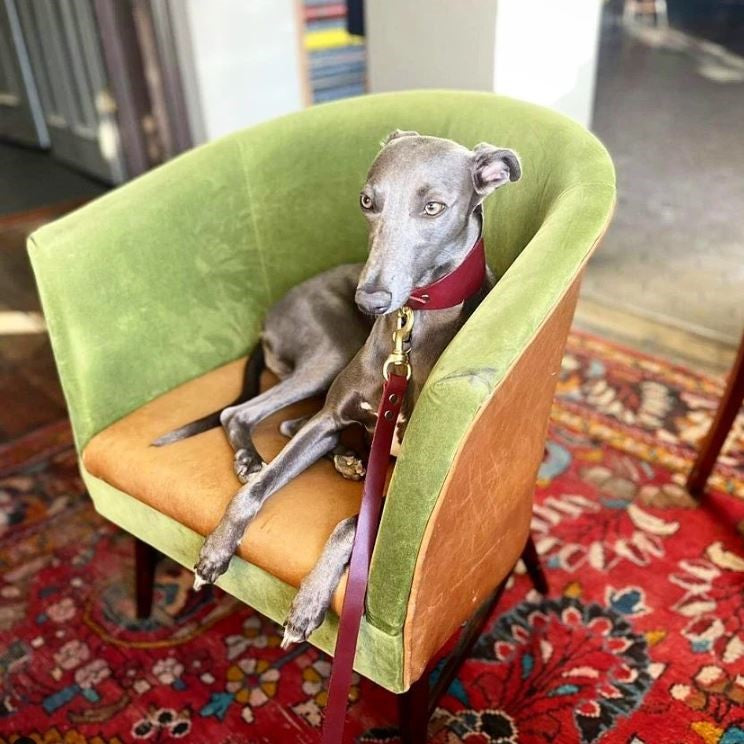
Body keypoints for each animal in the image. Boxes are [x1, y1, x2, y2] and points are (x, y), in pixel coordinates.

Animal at [154, 132, 520, 644]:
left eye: (433, 207)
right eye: (367, 201)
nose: (370, 300)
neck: (408, 334)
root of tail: (269, 317)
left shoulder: (404, 484)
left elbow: (350, 524)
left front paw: (309, 603)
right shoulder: (329, 418)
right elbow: (257, 488)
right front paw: (215, 551)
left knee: (277, 421)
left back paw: (347, 460)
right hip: (330, 351)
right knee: (248, 414)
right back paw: (267, 457)